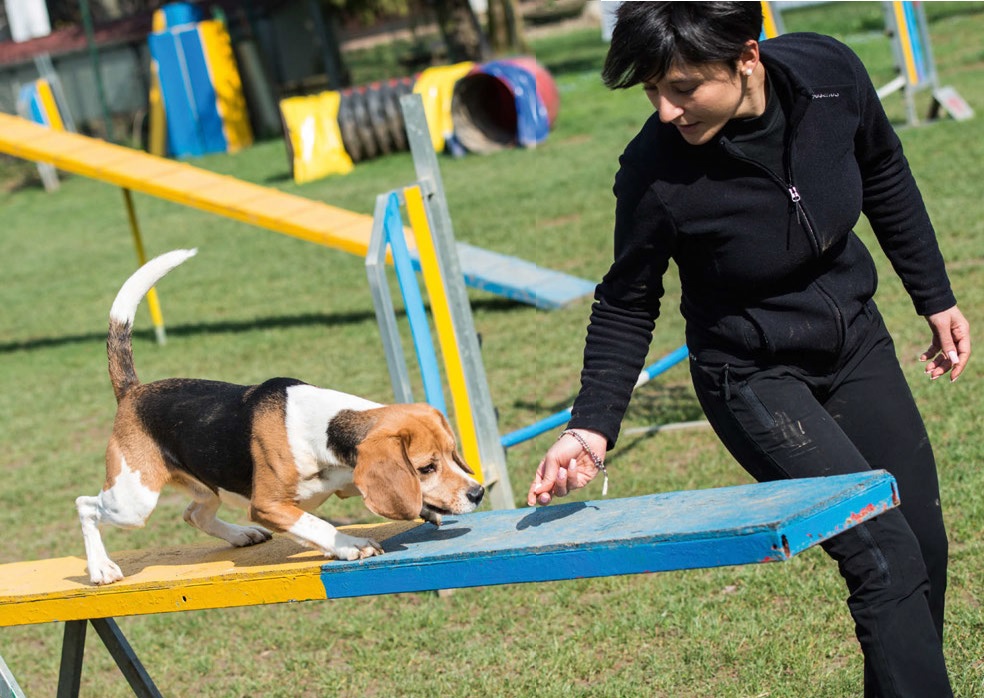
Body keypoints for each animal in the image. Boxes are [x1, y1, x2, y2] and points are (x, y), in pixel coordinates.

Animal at [77, 247, 484, 584]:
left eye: (453, 454)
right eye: (426, 467)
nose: (478, 492)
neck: (322, 428)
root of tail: (133, 391)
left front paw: (422, 509)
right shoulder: (268, 505)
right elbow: (315, 524)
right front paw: (349, 543)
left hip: (206, 487)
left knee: (194, 514)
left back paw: (241, 534)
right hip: (133, 502)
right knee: (86, 506)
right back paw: (101, 569)